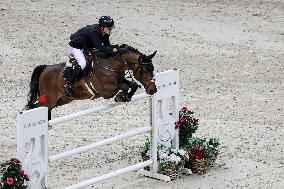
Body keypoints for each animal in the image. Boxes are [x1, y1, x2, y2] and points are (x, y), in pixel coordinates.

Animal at [25, 45, 158, 119]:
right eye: (145, 70)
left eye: (152, 69)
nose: (153, 89)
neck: (110, 65)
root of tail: (45, 68)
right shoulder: (106, 91)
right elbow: (123, 87)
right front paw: (121, 96)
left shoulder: (119, 79)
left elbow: (133, 85)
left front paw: (124, 96)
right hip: (49, 100)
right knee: (34, 107)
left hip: (62, 100)